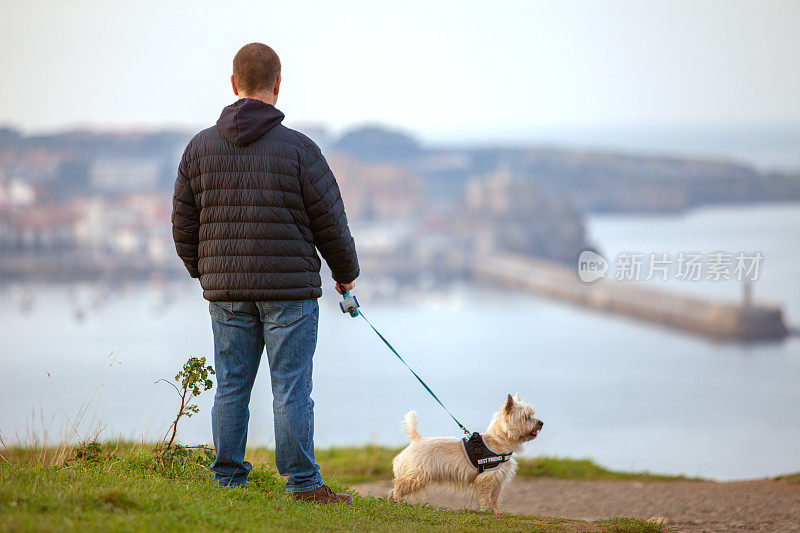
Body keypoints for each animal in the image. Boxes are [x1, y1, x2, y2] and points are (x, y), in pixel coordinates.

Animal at [390, 390, 544, 512]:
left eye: (533, 414)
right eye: (526, 417)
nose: (541, 422)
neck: (497, 442)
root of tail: (416, 439)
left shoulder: (498, 479)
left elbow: (494, 496)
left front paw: (493, 511)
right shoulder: (487, 477)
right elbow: (486, 496)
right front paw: (486, 510)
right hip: (419, 474)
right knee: (399, 483)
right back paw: (395, 499)